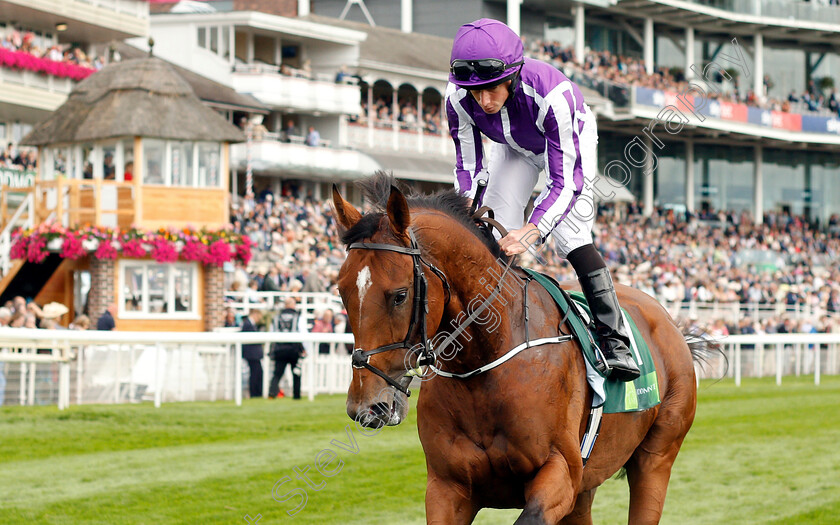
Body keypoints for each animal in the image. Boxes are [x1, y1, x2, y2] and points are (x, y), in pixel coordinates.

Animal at [332, 174, 720, 520]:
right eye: (342, 290)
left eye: (399, 295)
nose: (366, 407)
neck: (484, 364)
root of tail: (668, 320)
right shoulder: (446, 487)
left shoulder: (559, 474)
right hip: (587, 486)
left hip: (656, 458)